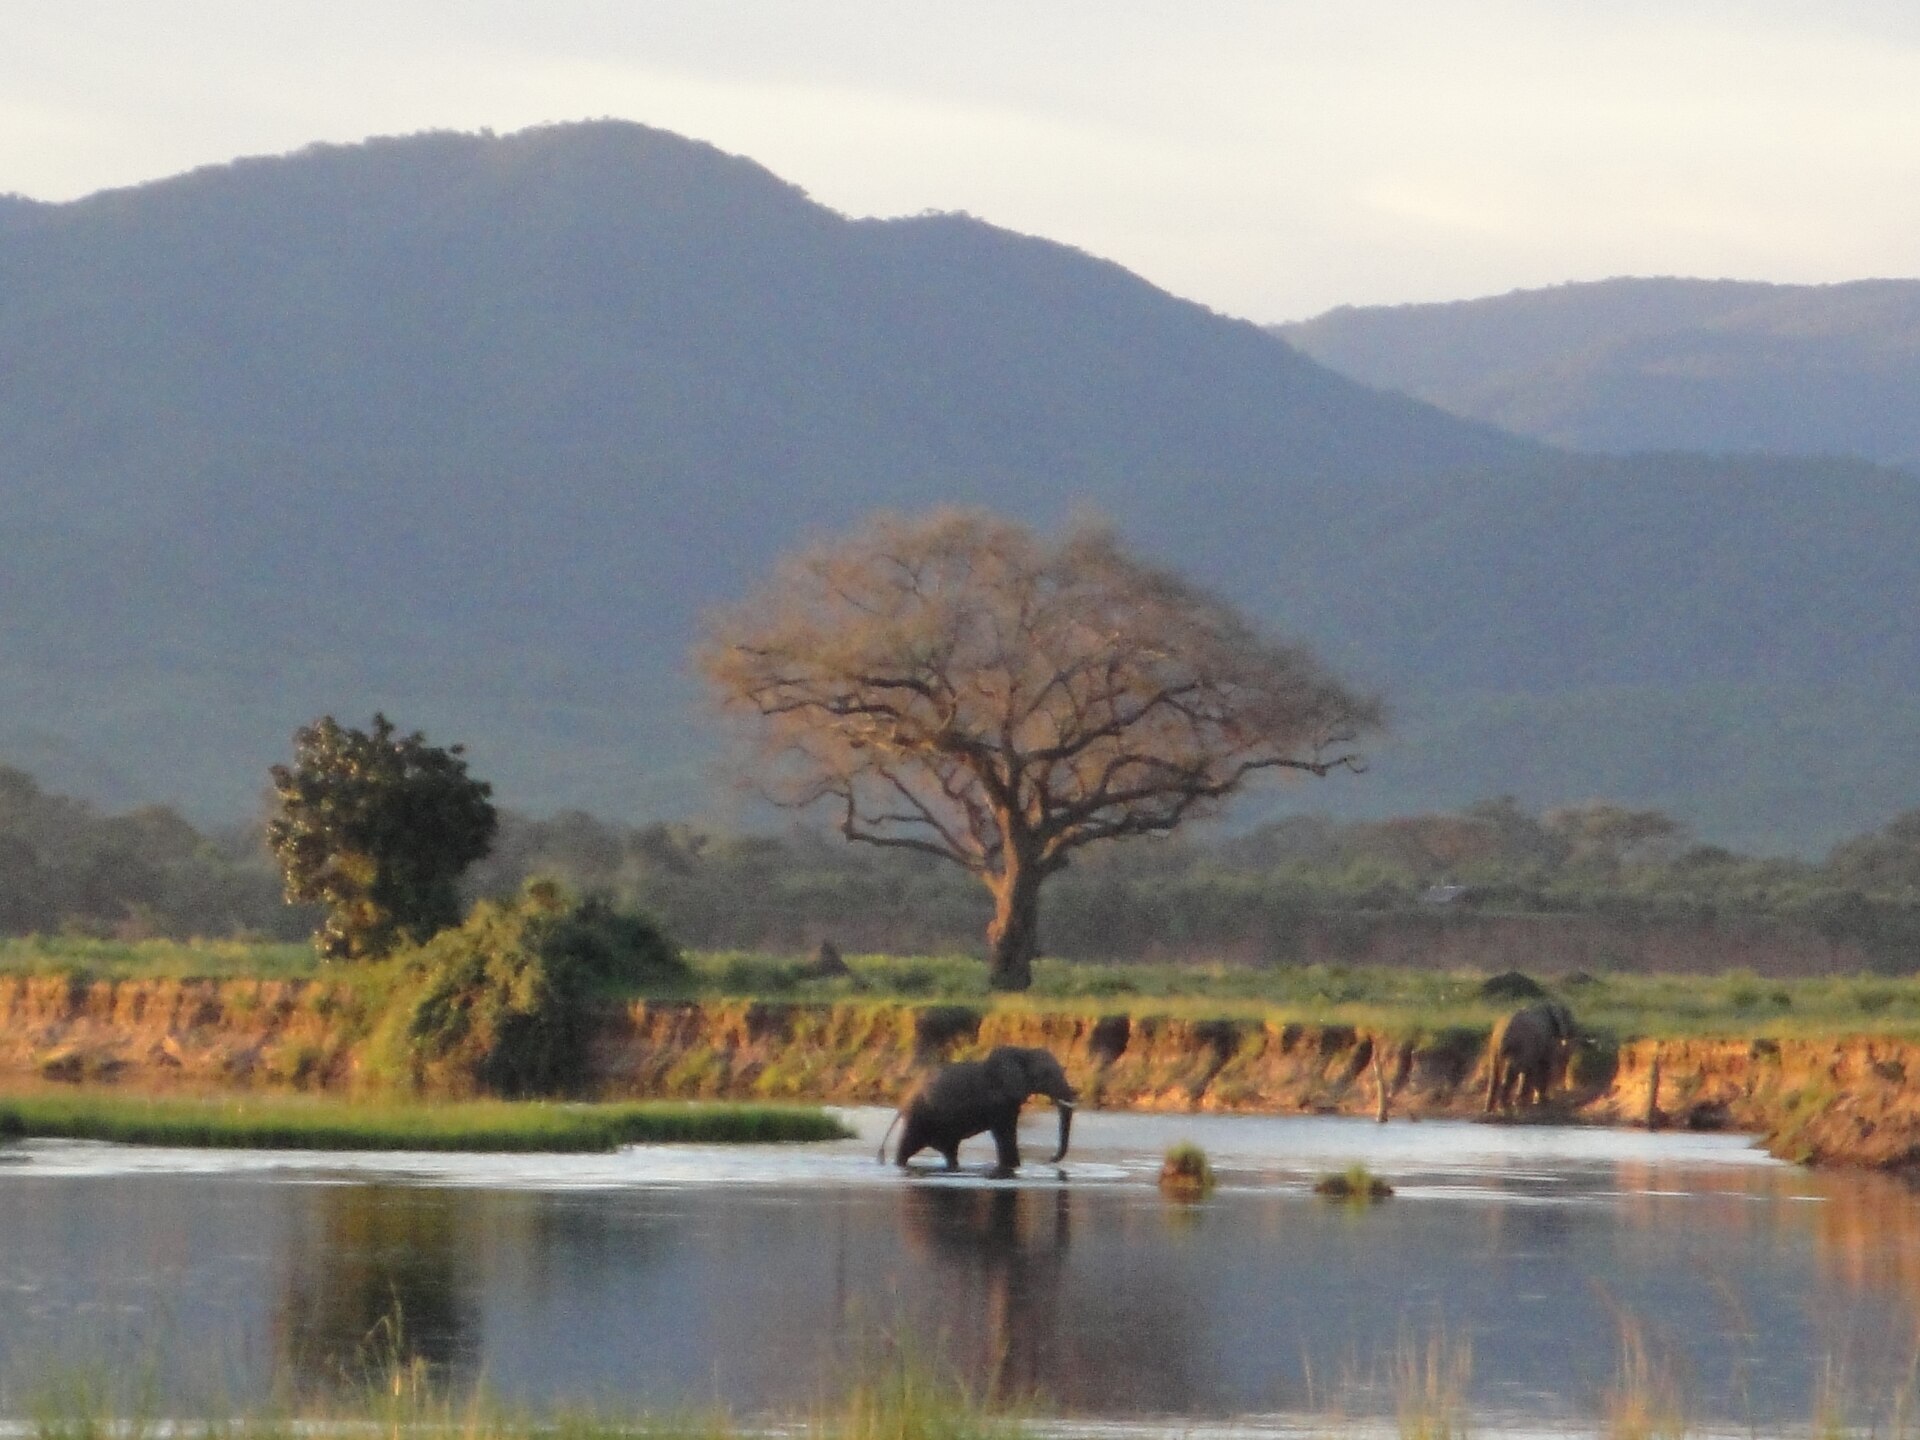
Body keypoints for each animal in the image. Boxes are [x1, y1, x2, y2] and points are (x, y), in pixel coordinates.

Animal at [879, 1045, 1077, 1177]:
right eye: (1046, 1074)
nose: (1049, 1159)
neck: (1023, 1051)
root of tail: (904, 1101)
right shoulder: (998, 1101)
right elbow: (1005, 1135)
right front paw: (1012, 1168)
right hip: (918, 1118)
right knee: (906, 1149)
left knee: (950, 1152)